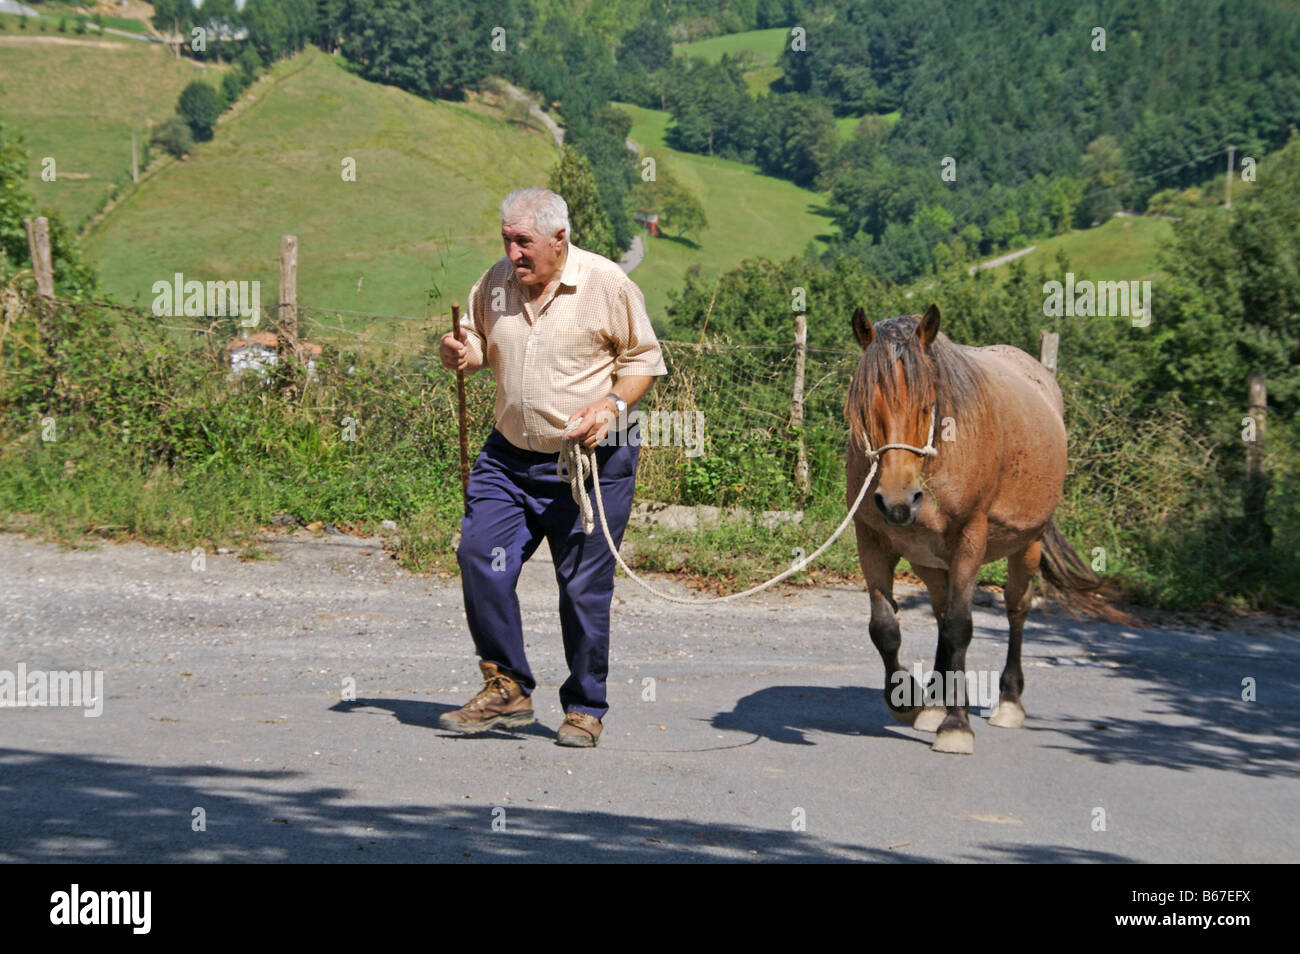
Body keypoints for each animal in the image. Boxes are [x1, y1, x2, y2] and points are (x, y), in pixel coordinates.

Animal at [844, 303, 1100, 755]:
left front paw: (957, 724)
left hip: (1028, 544)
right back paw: (933, 704)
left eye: (927, 405)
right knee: (941, 612)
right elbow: (885, 627)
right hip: (931, 561)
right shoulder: (871, 539)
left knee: (1015, 609)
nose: (897, 501)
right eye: (865, 406)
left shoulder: (970, 539)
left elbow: (962, 627)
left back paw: (1008, 702)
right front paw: (906, 700)